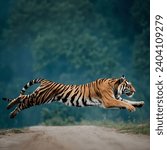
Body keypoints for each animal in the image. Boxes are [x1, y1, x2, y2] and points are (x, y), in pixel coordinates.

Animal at [1, 75, 144, 118]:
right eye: (129, 85)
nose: (135, 90)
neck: (115, 87)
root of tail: (45, 81)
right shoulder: (109, 101)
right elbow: (124, 103)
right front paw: (132, 108)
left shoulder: (116, 99)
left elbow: (127, 102)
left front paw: (140, 103)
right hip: (39, 97)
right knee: (23, 99)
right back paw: (11, 111)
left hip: (39, 96)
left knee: (23, 97)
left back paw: (10, 109)